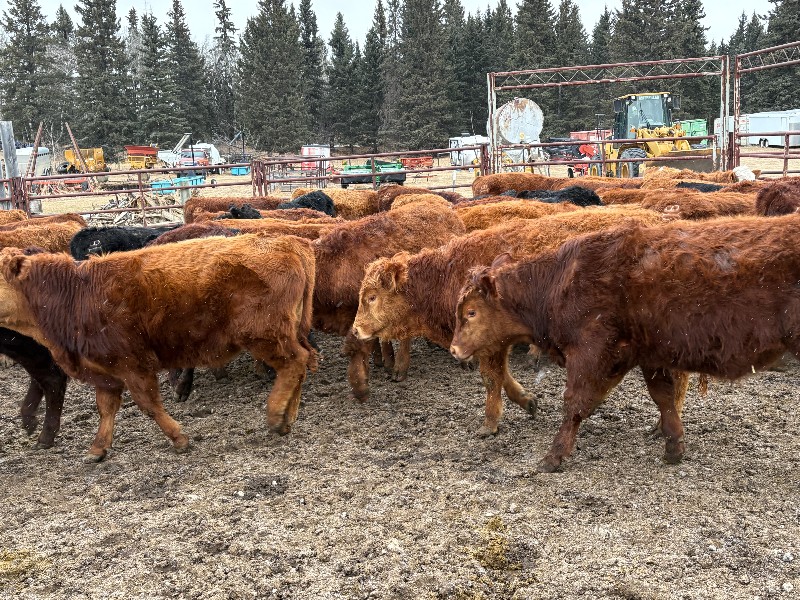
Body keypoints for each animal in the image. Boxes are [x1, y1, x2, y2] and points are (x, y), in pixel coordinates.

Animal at [0, 234, 317, 461]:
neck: (76, 294)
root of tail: (291, 242)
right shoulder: (105, 371)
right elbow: (106, 409)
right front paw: (97, 449)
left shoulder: (134, 366)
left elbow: (149, 405)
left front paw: (179, 438)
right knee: (301, 365)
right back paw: (287, 417)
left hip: (266, 337)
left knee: (294, 363)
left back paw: (275, 416)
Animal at [353, 207, 671, 435]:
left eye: (371, 296)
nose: (355, 330)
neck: (447, 275)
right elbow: (502, 376)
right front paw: (527, 400)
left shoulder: (489, 342)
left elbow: (492, 378)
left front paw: (490, 423)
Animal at [451, 214, 800, 472]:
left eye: (471, 312)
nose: (454, 349)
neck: (561, 282)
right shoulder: (648, 354)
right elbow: (663, 397)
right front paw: (673, 445)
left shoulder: (590, 352)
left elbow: (574, 403)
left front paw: (554, 455)